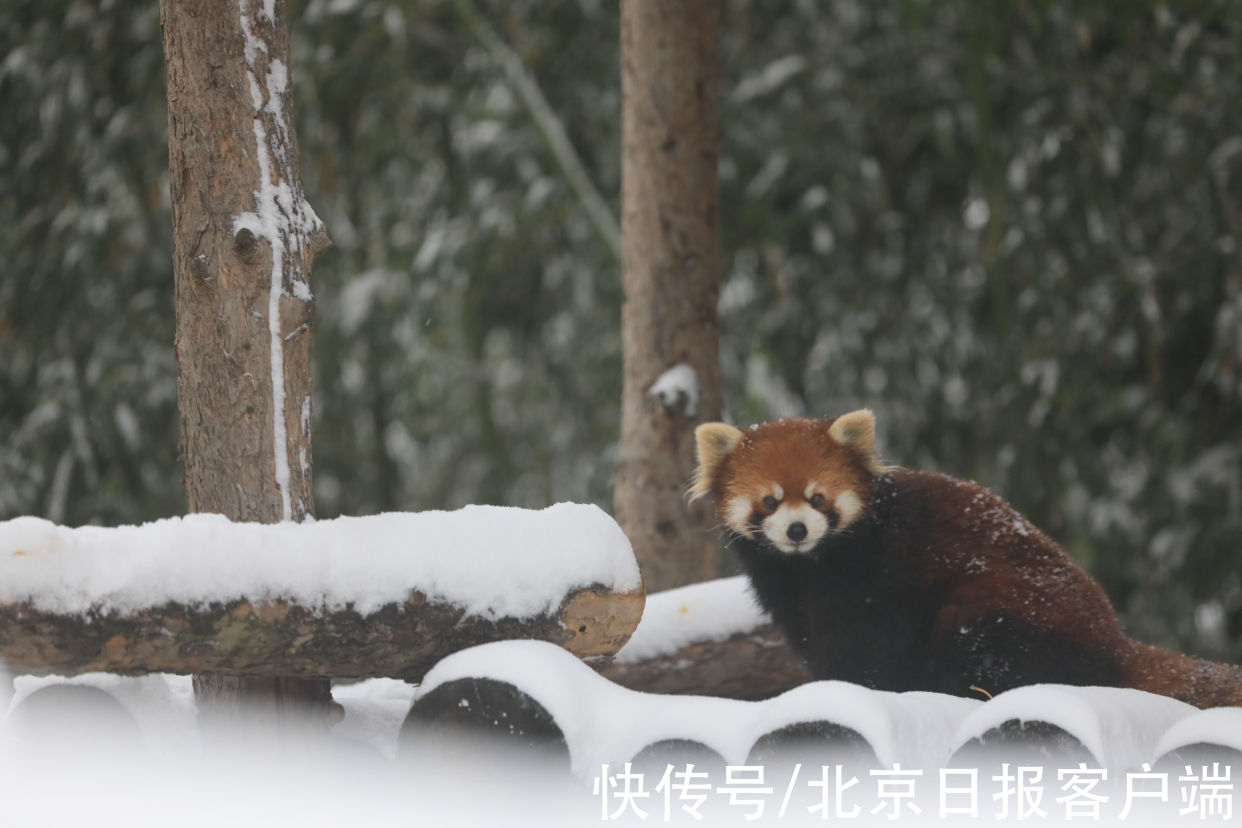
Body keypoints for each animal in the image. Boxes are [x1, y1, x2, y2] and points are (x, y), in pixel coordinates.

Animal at [690, 412, 1242, 710]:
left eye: (818, 498)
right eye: (769, 502)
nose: (798, 530)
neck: (811, 566)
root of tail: (1114, 639)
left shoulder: (879, 581)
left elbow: (868, 647)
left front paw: (858, 685)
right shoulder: (789, 592)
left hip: (1005, 609)